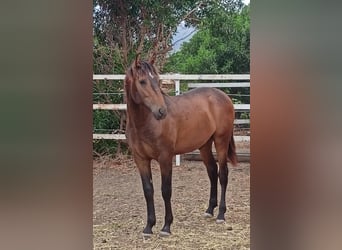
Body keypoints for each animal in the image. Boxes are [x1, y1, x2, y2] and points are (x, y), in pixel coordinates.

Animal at [124, 55, 236, 237]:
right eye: (142, 81)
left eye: (157, 80)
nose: (161, 111)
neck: (144, 123)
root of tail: (223, 95)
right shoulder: (140, 159)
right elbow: (148, 190)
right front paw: (148, 227)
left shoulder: (165, 158)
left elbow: (165, 190)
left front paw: (166, 227)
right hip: (204, 145)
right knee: (212, 172)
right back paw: (209, 210)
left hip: (221, 141)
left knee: (223, 174)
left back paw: (220, 214)